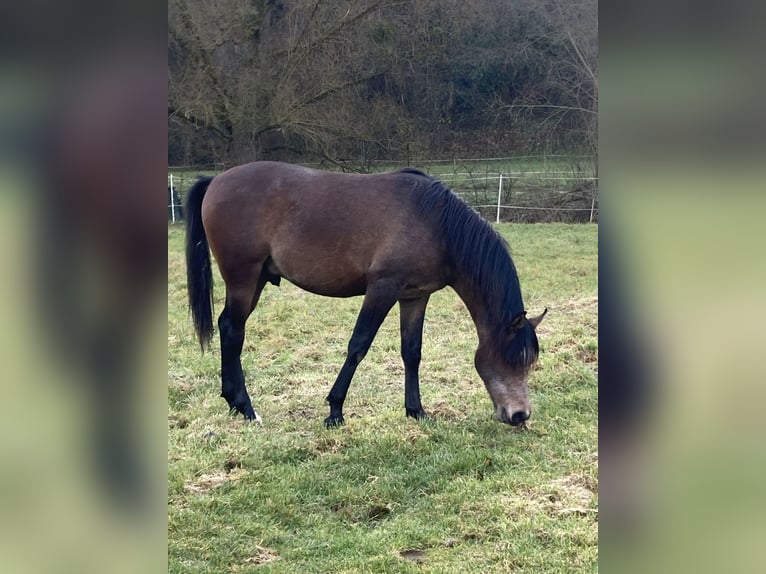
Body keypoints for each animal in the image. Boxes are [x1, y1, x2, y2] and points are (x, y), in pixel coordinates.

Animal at [184, 162, 544, 428]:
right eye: (512, 358)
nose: (519, 415)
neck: (436, 224)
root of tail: (216, 180)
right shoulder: (382, 289)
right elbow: (358, 346)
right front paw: (334, 411)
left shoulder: (414, 296)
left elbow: (412, 352)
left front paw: (416, 411)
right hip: (243, 279)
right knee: (233, 330)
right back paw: (245, 408)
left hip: (256, 279)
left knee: (230, 328)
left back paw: (234, 403)